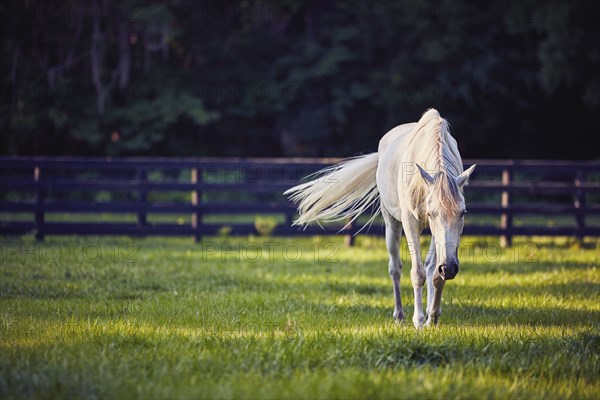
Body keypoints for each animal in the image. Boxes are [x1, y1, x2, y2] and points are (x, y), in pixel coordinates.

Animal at [284, 108, 476, 328]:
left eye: (463, 213)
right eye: (430, 213)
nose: (450, 268)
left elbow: (435, 274)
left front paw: (432, 318)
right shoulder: (411, 223)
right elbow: (417, 273)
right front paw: (418, 321)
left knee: (428, 267)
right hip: (392, 224)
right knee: (395, 268)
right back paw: (399, 315)